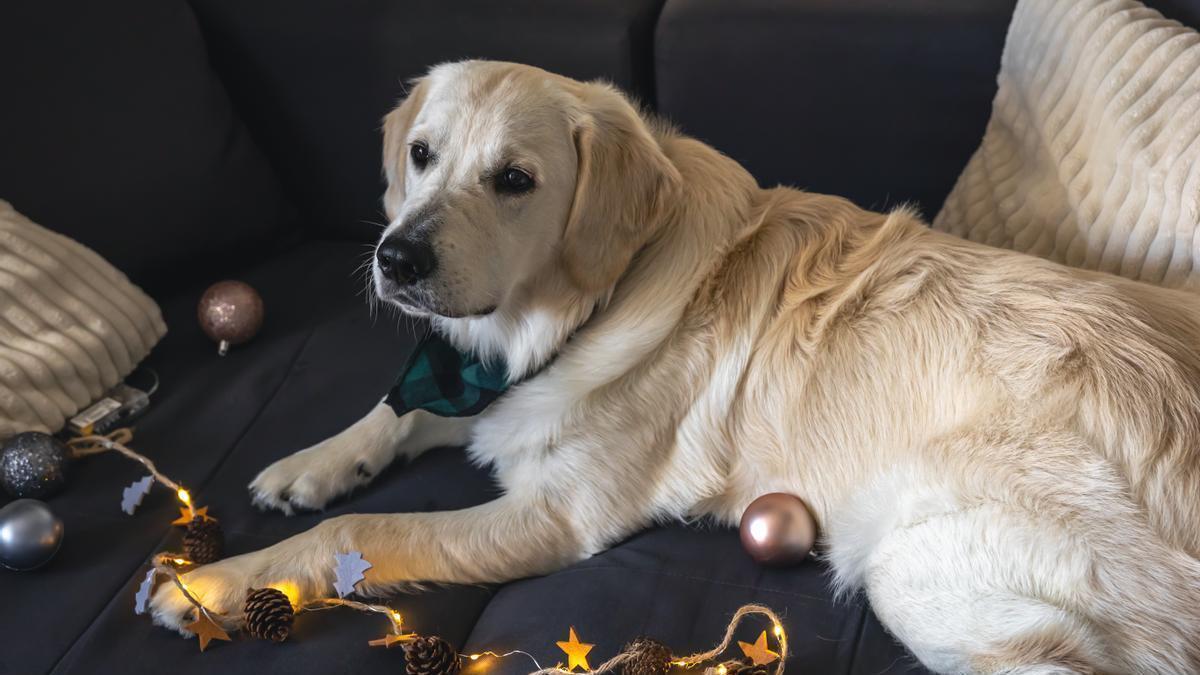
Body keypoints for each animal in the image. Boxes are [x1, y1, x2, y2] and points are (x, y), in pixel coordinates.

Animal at [154, 60, 1200, 667]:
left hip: (920, 568)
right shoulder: (477, 383)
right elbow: (394, 409)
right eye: (419, 154)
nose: (395, 258)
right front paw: (308, 465)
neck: (576, 307)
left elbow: (369, 530)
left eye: (515, 181)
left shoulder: (554, 515)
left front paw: (218, 584)